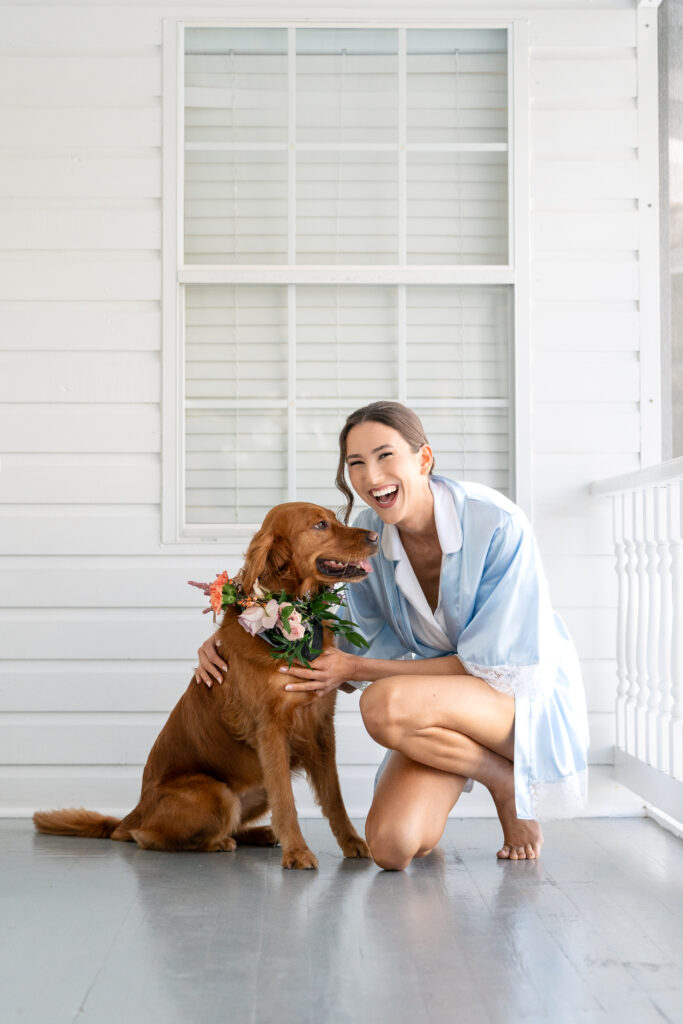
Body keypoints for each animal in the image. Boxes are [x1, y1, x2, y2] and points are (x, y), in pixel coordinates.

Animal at [33, 499, 378, 868]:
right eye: (320, 525)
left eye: (334, 519)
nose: (375, 536)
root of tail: (134, 813)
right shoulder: (270, 728)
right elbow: (287, 801)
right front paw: (297, 852)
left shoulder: (320, 725)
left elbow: (334, 798)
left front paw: (353, 843)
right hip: (216, 791)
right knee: (149, 837)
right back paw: (219, 842)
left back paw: (258, 834)